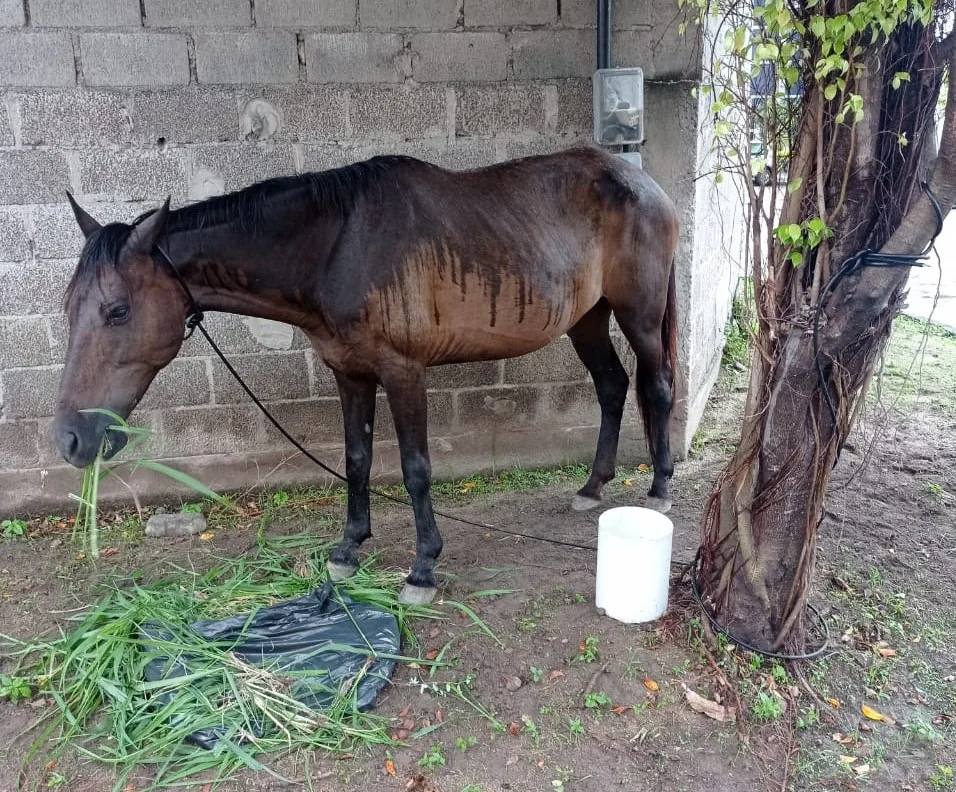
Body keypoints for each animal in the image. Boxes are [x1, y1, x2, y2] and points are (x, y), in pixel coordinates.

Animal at [54, 147, 680, 608]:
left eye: (117, 311)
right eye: (68, 307)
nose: (70, 440)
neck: (336, 246)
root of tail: (644, 183)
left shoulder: (403, 372)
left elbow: (415, 469)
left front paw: (423, 568)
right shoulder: (350, 374)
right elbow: (356, 459)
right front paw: (348, 550)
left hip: (639, 314)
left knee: (657, 387)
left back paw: (660, 488)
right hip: (587, 318)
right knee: (612, 388)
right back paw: (592, 487)